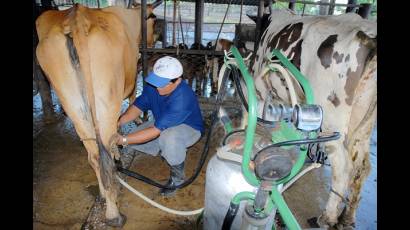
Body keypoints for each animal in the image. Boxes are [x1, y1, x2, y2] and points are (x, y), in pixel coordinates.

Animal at [36, 3, 157, 226]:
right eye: (153, 19)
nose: (152, 42)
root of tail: (75, 18)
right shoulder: (131, 79)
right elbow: (130, 103)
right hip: (106, 99)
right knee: (105, 154)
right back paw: (113, 213)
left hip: (73, 104)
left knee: (94, 155)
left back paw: (103, 193)